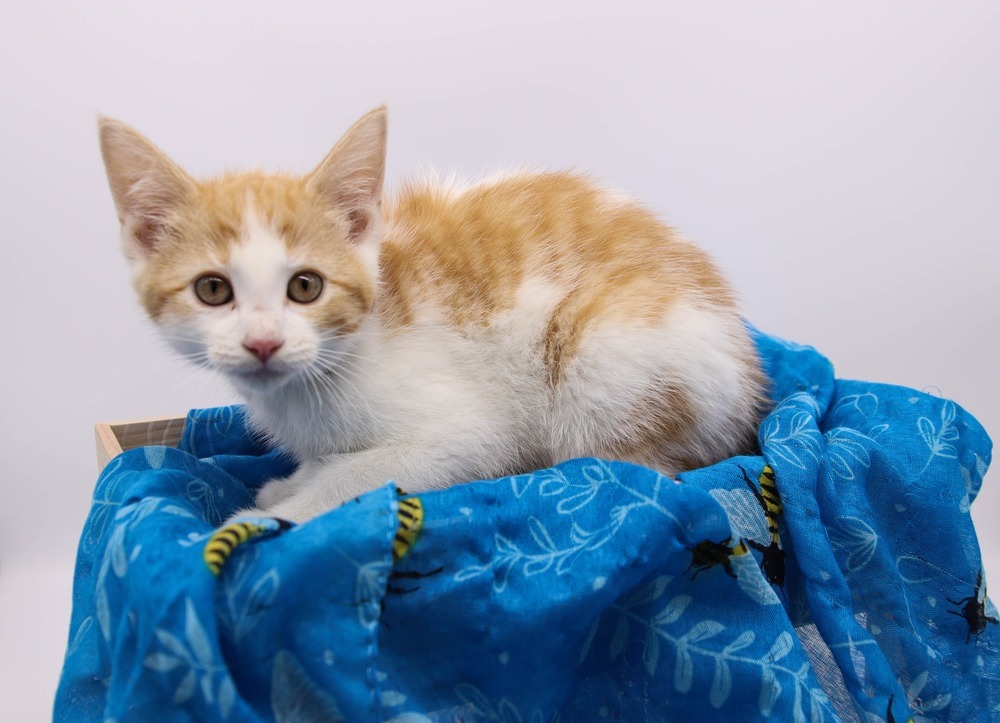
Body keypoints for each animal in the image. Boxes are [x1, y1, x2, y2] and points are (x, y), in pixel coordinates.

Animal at [97, 107, 760, 524]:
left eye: (306, 286)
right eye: (213, 290)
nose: (263, 343)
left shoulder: (470, 430)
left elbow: (366, 473)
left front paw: (279, 513)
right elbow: (328, 460)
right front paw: (294, 478)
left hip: (602, 355)